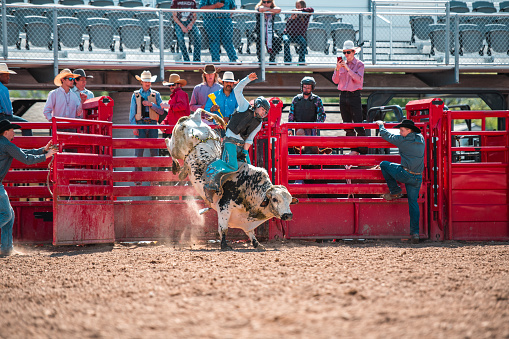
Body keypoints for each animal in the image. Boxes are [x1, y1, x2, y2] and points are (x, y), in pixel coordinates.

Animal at [165, 110, 296, 251]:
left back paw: (183, 171)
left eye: (289, 200)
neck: (248, 187)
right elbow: (223, 229)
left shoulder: (245, 219)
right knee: (168, 143)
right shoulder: (224, 207)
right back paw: (176, 167)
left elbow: (250, 232)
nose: (288, 215)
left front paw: (257, 243)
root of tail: (195, 117)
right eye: (275, 199)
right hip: (177, 147)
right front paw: (224, 245)